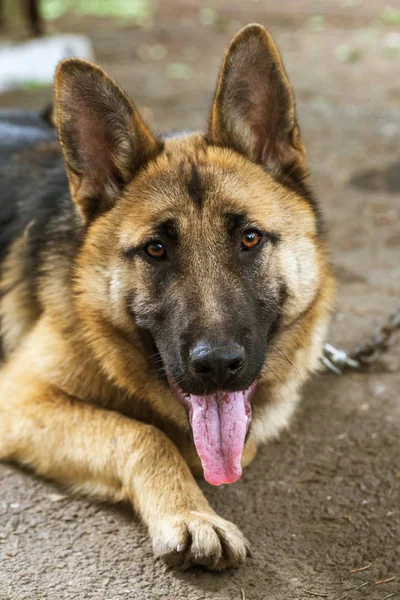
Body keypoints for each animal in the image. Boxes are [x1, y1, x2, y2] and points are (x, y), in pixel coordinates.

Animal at [0, 25, 334, 568]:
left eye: (249, 238)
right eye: (156, 249)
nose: (217, 365)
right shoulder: (20, 397)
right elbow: (143, 433)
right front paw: (189, 513)